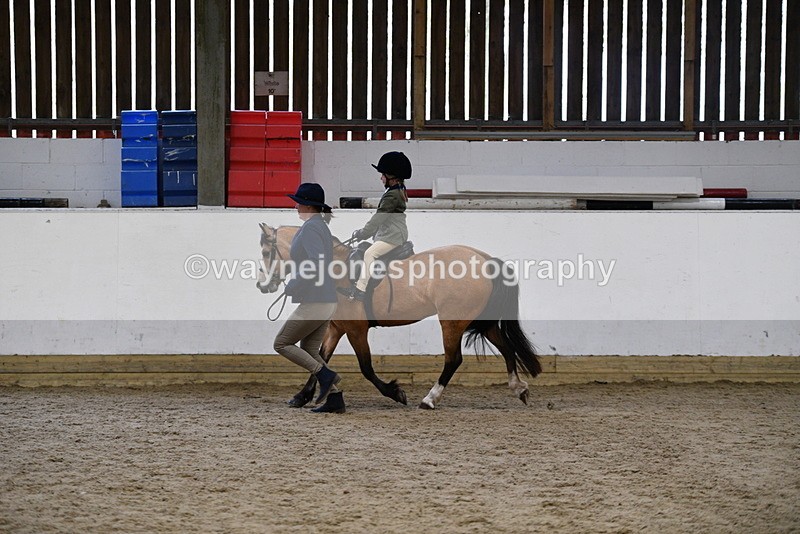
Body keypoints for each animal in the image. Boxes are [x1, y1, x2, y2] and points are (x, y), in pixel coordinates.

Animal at [257, 224, 541, 409]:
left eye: (266, 253)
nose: (263, 285)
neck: (335, 270)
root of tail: (484, 259)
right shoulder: (337, 327)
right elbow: (320, 360)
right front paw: (302, 396)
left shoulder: (356, 329)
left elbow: (366, 368)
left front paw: (395, 392)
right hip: (481, 320)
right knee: (506, 348)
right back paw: (519, 388)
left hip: (452, 322)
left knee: (453, 360)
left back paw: (429, 399)